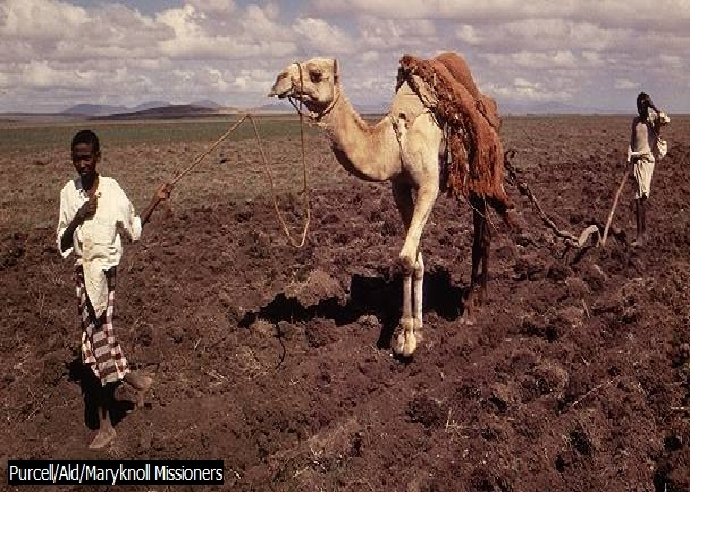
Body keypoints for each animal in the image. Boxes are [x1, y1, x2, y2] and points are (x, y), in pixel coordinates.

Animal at [268, 53, 512, 358]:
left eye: (316, 74)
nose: (279, 80)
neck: (396, 141)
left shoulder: (429, 186)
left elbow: (406, 258)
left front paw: (405, 337)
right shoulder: (400, 187)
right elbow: (416, 257)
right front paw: (418, 326)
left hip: (481, 175)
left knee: (483, 233)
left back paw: (474, 303)